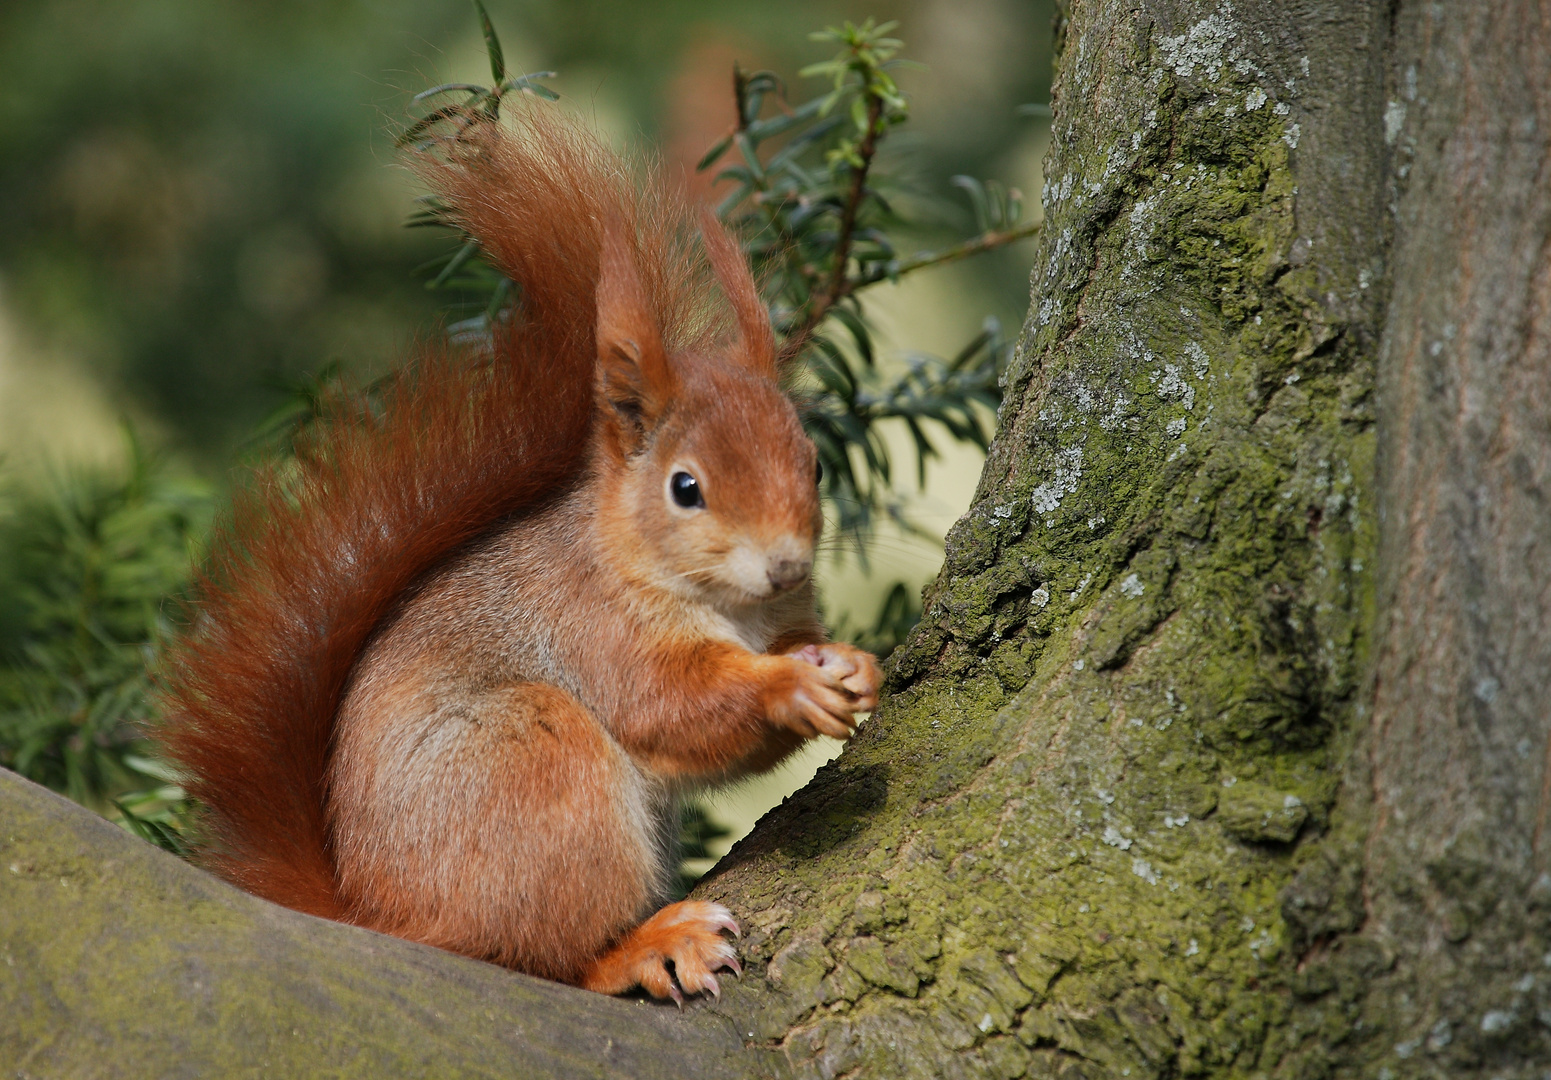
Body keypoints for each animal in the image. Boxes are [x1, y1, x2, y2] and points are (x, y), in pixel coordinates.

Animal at [160, 105, 887, 999]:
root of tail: (382, 917)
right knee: (543, 956)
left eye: (813, 463)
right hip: (535, 765)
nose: (785, 565)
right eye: (685, 487)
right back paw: (648, 946)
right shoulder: (593, 629)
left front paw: (851, 664)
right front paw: (788, 685)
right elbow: (671, 708)